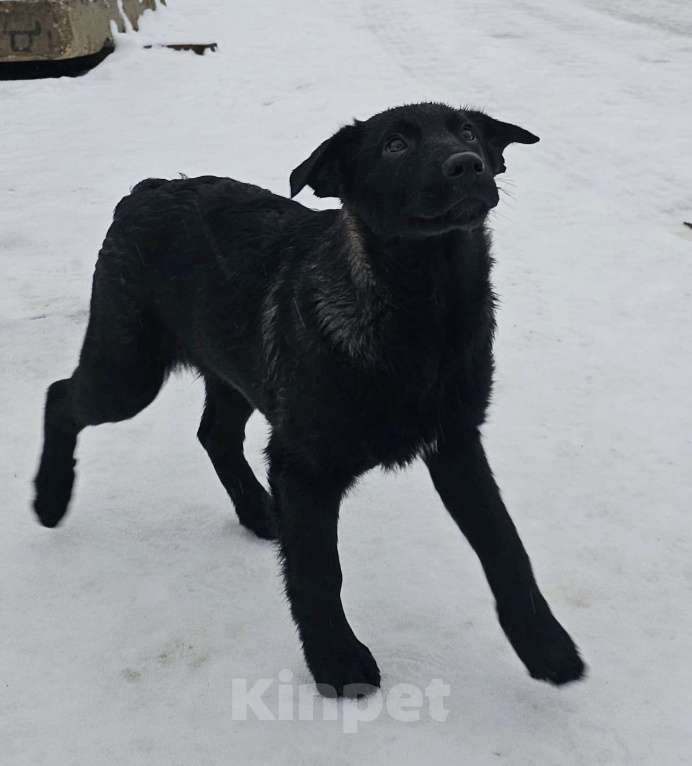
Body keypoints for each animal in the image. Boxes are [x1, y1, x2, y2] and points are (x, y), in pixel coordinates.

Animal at [32, 103, 584, 704]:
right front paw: (337, 661)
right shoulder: (303, 465)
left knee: (213, 433)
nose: (467, 164)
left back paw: (257, 510)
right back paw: (50, 497)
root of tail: (147, 189)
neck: (424, 316)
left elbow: (505, 545)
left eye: (467, 132)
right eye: (393, 145)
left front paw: (545, 645)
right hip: (127, 371)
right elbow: (319, 571)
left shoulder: (456, 441)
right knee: (60, 396)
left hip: (232, 368)